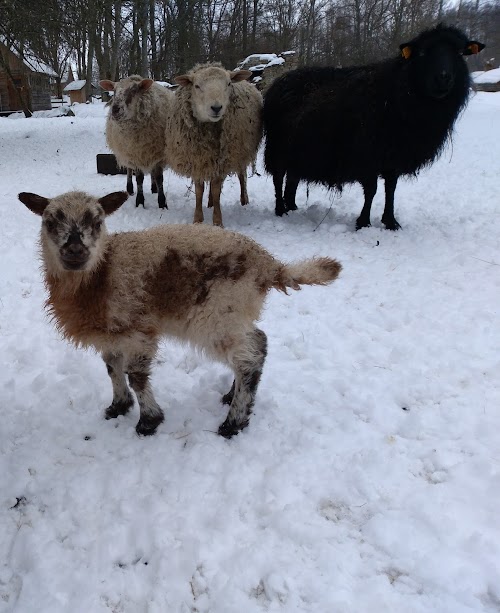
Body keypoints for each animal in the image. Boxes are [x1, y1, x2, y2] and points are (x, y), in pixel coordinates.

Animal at [17, 189, 342, 438]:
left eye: (97, 221)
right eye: (50, 221)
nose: (75, 250)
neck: (102, 274)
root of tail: (270, 265)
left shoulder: (139, 330)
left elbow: (137, 376)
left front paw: (149, 422)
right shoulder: (112, 331)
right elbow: (112, 368)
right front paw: (118, 406)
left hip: (219, 313)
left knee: (251, 355)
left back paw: (233, 423)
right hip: (235, 314)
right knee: (253, 346)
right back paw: (231, 396)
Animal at [99, 75, 174, 209]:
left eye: (134, 90)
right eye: (114, 91)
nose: (115, 109)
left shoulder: (158, 155)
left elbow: (159, 178)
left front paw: (162, 202)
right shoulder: (135, 153)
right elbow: (139, 178)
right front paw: (139, 201)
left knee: (153, 173)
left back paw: (154, 188)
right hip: (127, 152)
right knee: (129, 170)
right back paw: (130, 189)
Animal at [166, 61, 264, 227]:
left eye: (229, 83)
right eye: (197, 86)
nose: (216, 108)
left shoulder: (223, 160)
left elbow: (217, 189)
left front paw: (217, 221)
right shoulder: (197, 159)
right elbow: (199, 191)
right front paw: (198, 219)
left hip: (239, 152)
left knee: (242, 176)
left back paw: (244, 200)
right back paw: (210, 202)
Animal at [262, 23, 484, 230]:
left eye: (459, 53)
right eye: (422, 53)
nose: (443, 77)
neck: (399, 95)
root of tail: (279, 82)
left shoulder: (393, 156)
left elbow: (391, 189)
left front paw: (390, 222)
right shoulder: (366, 154)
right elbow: (371, 190)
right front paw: (364, 223)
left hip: (297, 148)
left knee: (292, 178)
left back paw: (292, 206)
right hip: (277, 147)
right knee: (278, 178)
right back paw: (281, 209)